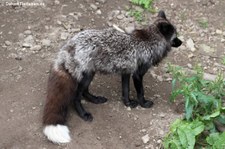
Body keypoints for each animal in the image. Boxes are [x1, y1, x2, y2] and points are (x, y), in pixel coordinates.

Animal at [42, 10, 183, 143]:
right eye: (175, 36)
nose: (181, 42)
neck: (149, 41)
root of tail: (70, 44)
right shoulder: (137, 74)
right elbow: (140, 92)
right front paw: (143, 104)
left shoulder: (126, 71)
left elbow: (125, 90)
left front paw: (127, 103)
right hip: (86, 76)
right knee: (76, 97)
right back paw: (83, 114)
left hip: (90, 74)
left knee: (85, 92)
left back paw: (96, 100)